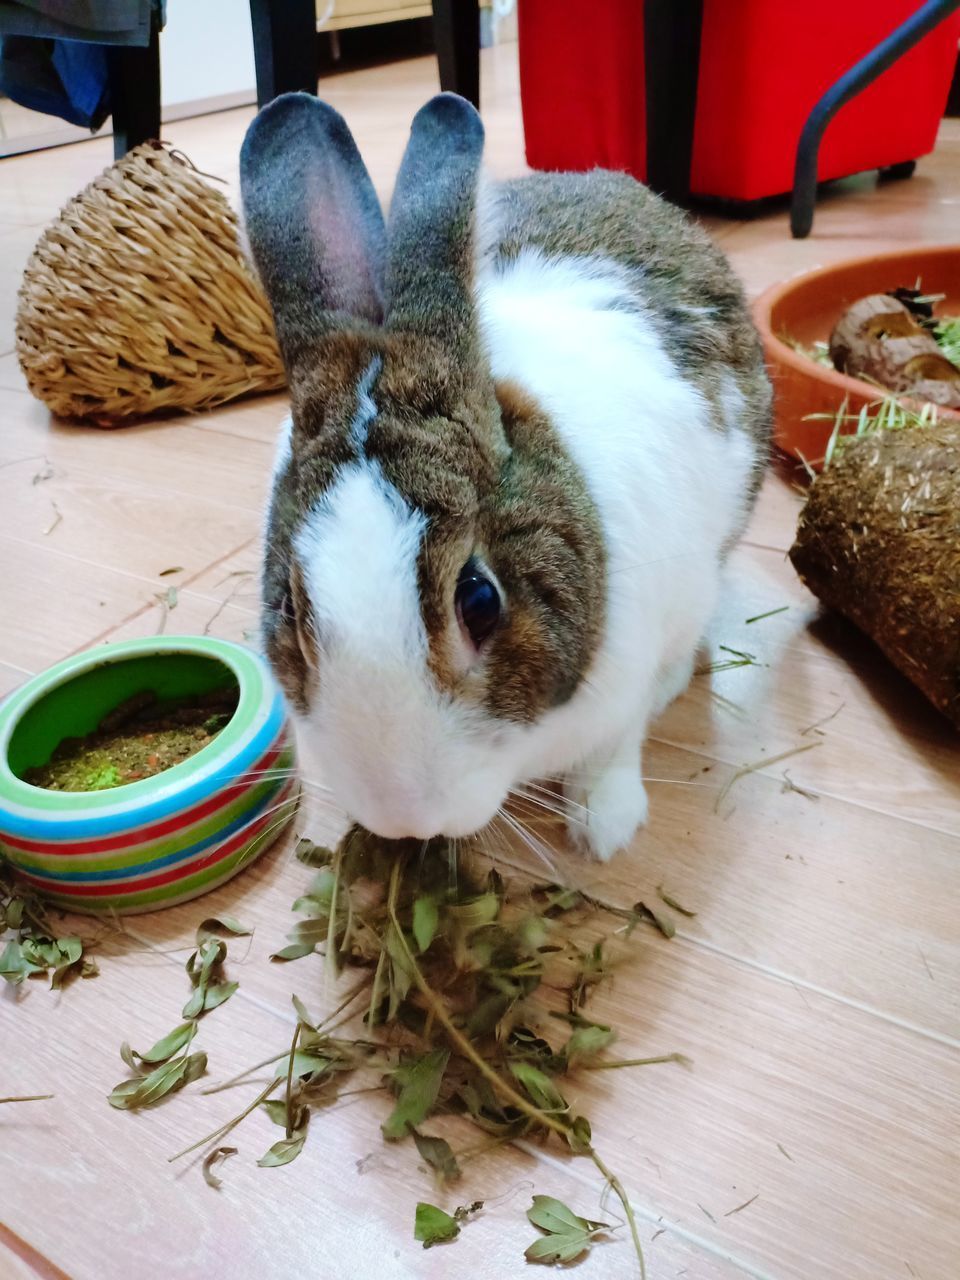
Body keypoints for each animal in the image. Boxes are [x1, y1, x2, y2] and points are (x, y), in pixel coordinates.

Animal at [240, 90, 773, 860]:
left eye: (480, 600)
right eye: (287, 605)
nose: (404, 814)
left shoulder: (626, 682)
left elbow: (614, 747)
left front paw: (603, 828)